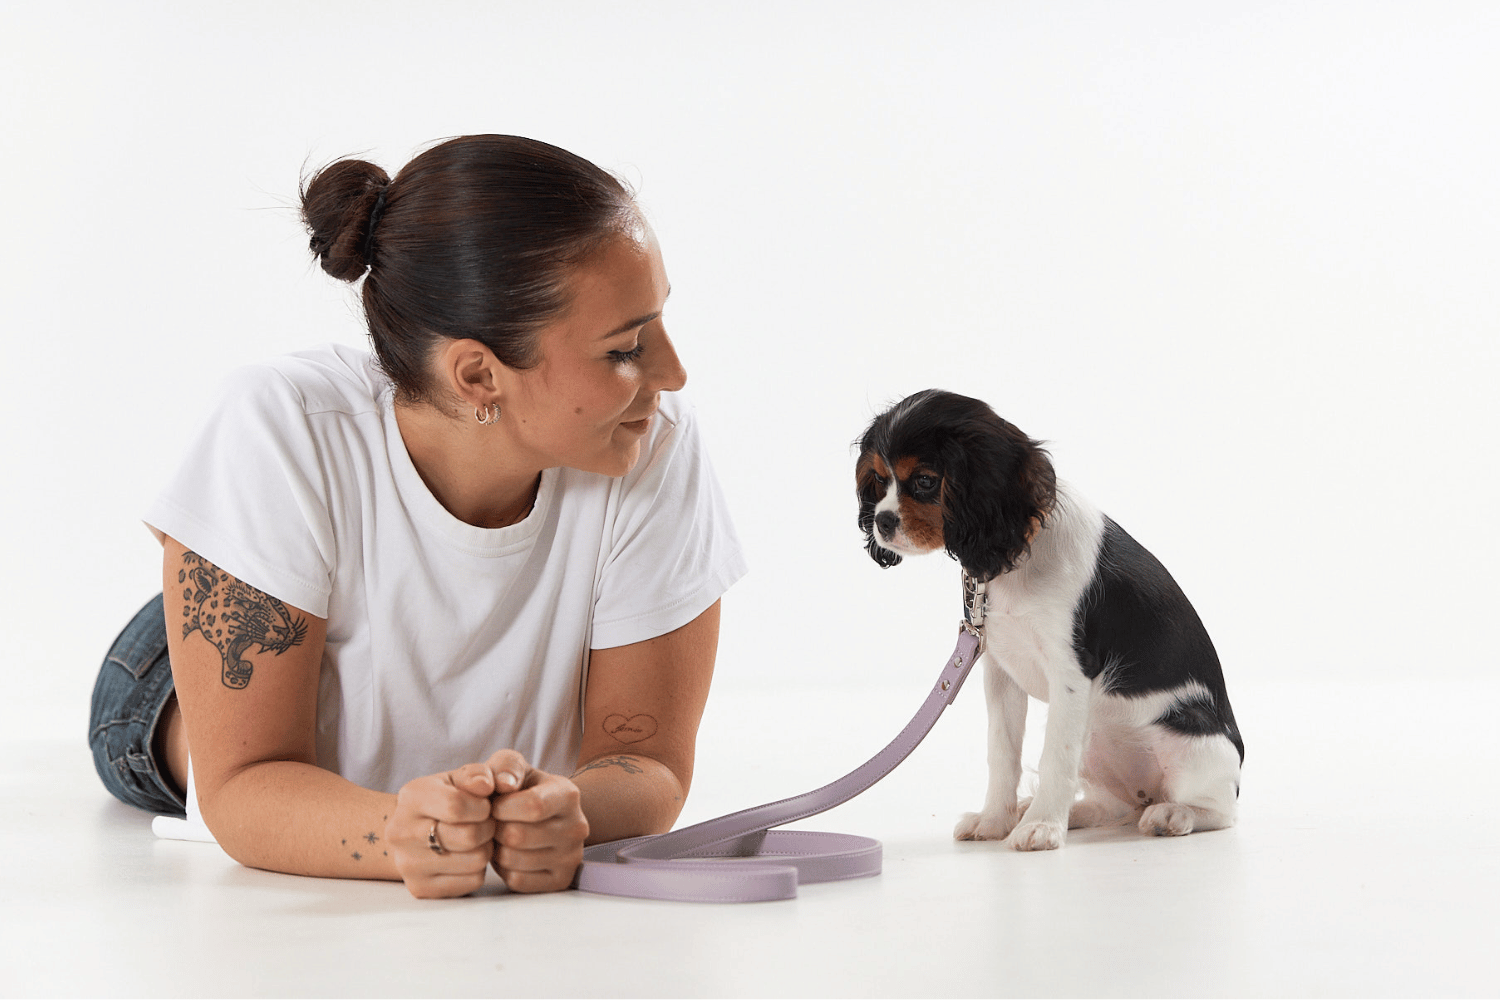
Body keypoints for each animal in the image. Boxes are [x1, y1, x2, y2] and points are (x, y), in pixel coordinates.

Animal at [858, 389, 1242, 851]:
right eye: (879, 480)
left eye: (926, 481)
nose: (881, 521)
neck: (1014, 556)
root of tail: (1148, 795)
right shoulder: (999, 670)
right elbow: (1003, 752)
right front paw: (997, 820)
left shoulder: (1071, 673)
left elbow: (1054, 754)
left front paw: (1041, 826)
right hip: (1097, 741)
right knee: (1116, 806)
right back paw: (1067, 812)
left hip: (1195, 744)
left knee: (1219, 811)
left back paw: (1172, 815)